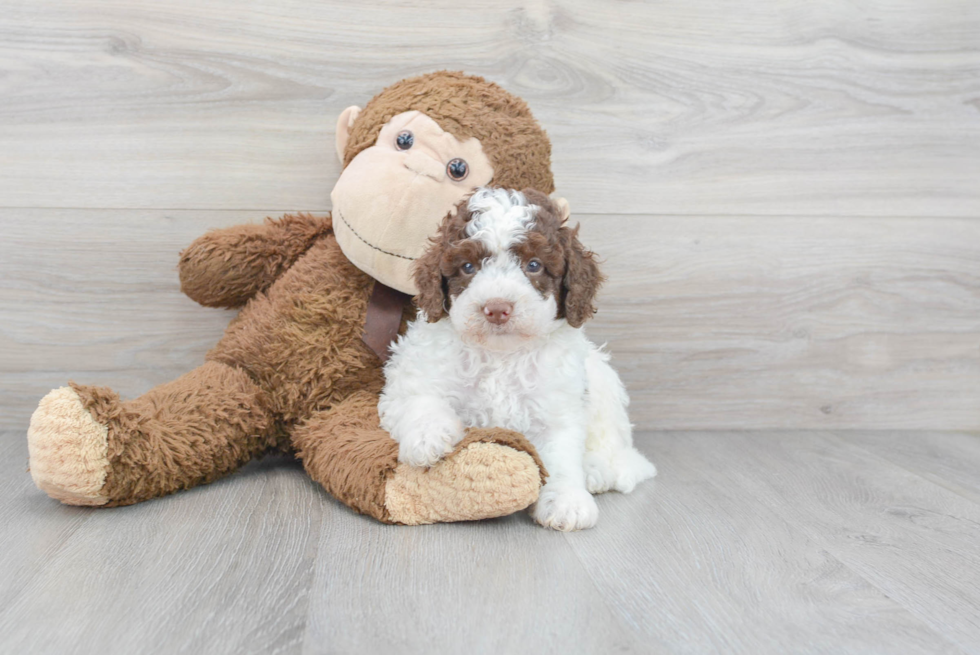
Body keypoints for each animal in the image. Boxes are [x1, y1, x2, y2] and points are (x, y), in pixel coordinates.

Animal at [378, 186, 656, 532]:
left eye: (534, 265)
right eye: (468, 267)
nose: (497, 308)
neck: (501, 354)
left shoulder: (558, 409)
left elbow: (562, 457)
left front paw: (566, 501)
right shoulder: (412, 374)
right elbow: (421, 400)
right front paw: (428, 438)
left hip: (603, 386)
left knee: (617, 454)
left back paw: (596, 471)